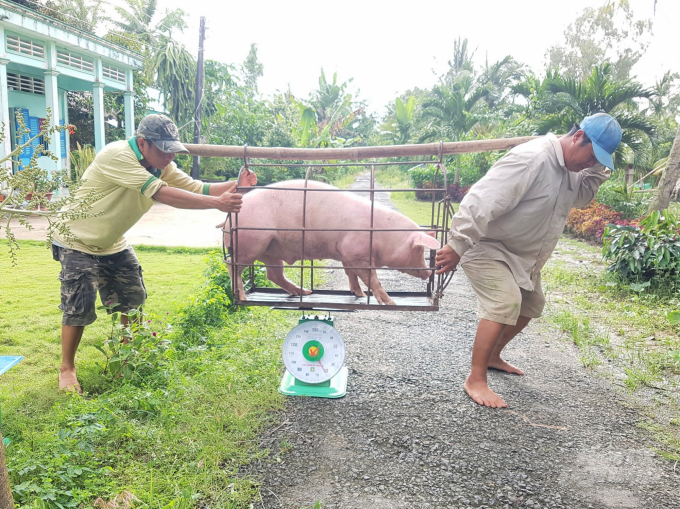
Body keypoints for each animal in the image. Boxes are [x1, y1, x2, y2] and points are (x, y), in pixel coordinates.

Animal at [223, 180, 440, 304]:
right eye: (419, 251)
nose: (429, 272)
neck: (381, 235)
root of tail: (227, 220)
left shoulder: (345, 253)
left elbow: (351, 274)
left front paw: (359, 295)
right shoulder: (356, 253)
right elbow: (371, 278)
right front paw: (389, 302)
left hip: (270, 250)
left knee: (274, 275)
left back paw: (306, 292)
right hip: (250, 244)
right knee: (233, 266)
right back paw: (242, 297)